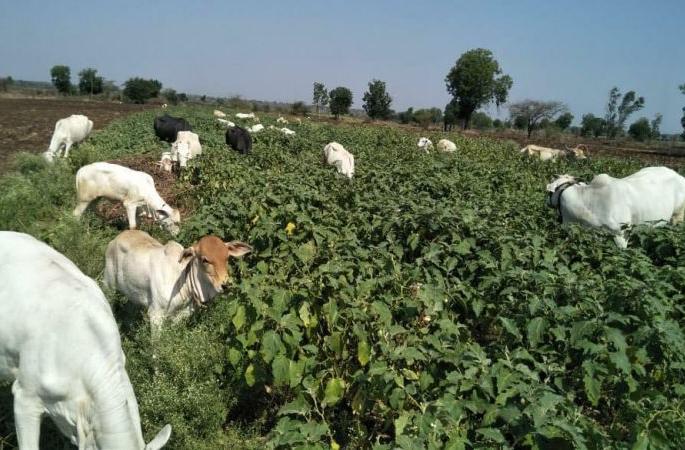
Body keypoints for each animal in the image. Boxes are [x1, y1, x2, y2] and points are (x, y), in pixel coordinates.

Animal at [105, 230, 252, 331]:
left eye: (227, 257)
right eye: (205, 260)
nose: (226, 285)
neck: (182, 281)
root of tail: (117, 238)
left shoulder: (180, 316)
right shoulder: (155, 315)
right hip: (108, 285)